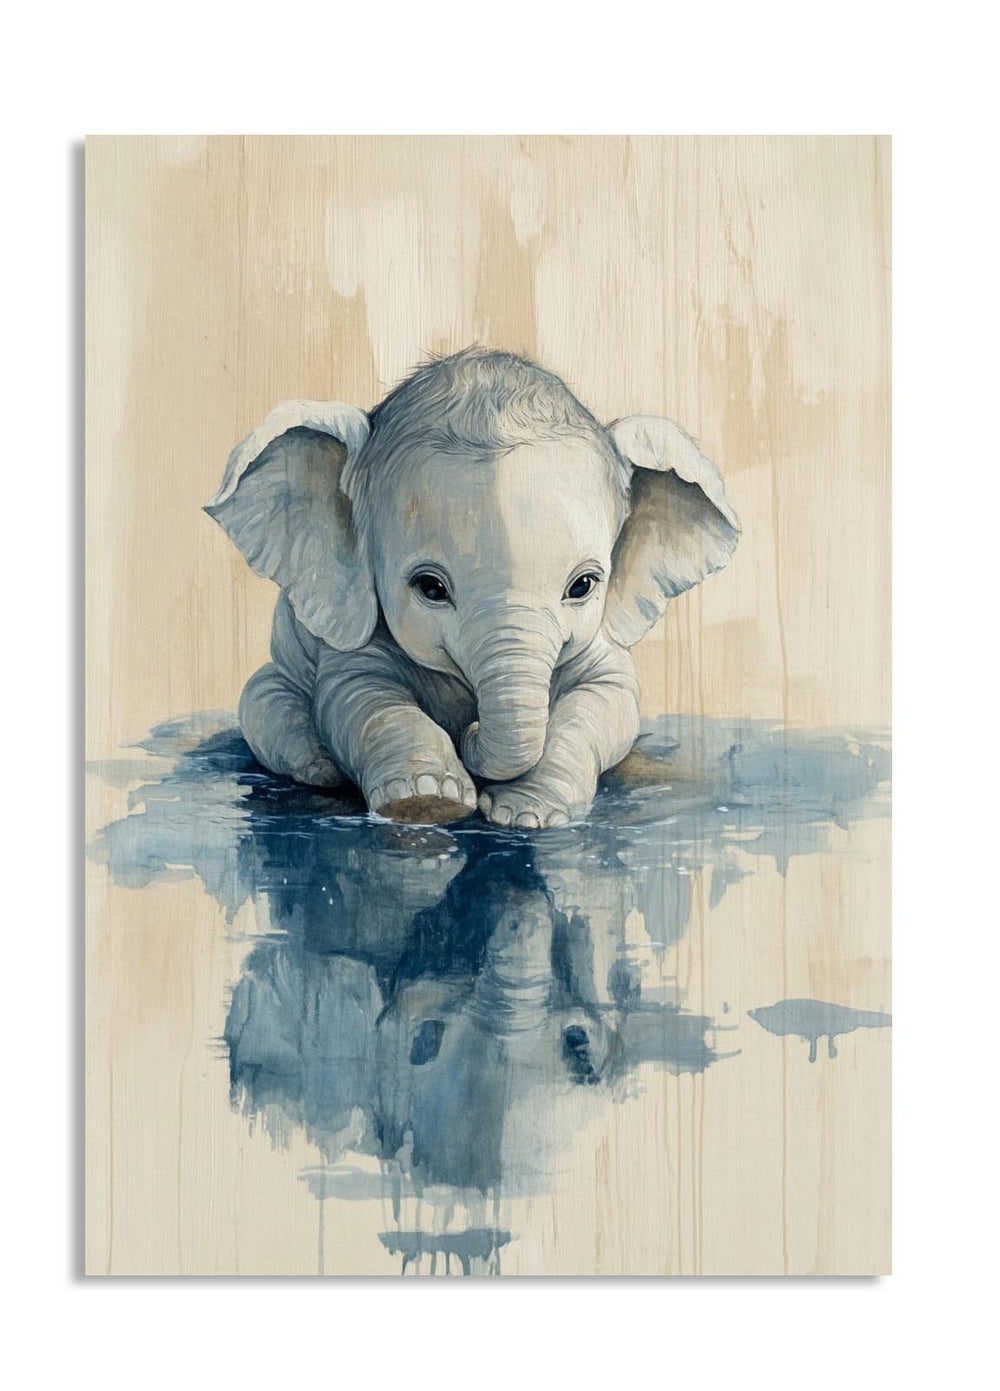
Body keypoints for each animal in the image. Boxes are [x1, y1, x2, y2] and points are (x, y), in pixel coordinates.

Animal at [206, 348, 739, 828]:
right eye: (430, 587)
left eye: (584, 586)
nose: (472, 731)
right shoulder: (357, 625)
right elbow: (361, 699)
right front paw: (426, 803)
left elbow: (606, 702)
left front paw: (525, 814)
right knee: (265, 701)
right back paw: (321, 770)